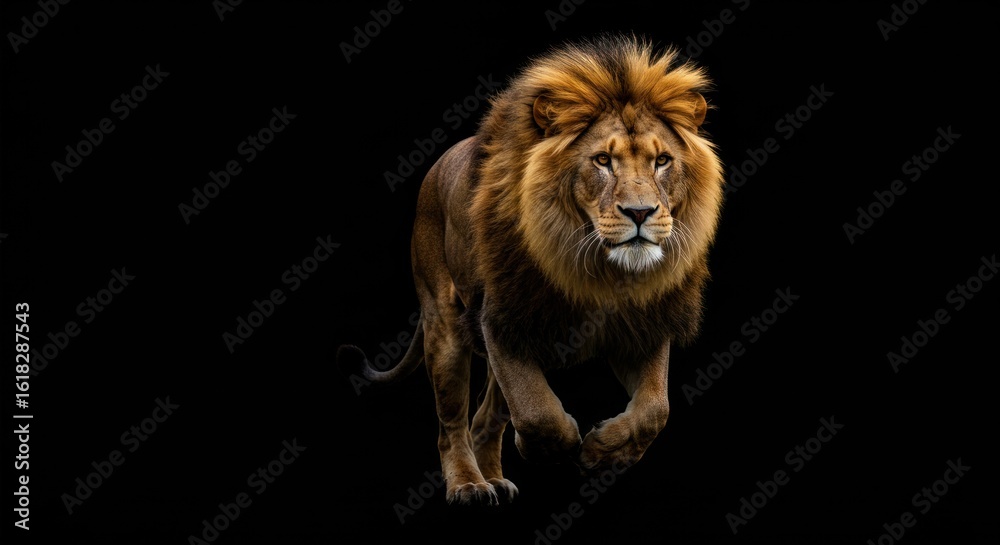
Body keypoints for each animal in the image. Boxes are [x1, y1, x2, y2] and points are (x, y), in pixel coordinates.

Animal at [340, 36, 724, 506]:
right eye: (602, 160)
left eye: (663, 161)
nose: (640, 213)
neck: (603, 272)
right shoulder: (502, 320)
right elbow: (537, 410)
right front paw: (556, 446)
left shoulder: (643, 323)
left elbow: (655, 409)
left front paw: (602, 451)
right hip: (445, 327)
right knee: (452, 424)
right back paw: (469, 484)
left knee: (485, 418)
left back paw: (496, 480)